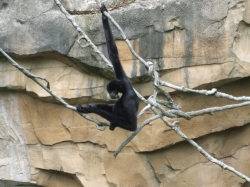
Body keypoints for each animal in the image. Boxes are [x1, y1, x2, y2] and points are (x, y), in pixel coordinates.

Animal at [76, 3, 139, 131]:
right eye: (109, 91)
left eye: (113, 90)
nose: (111, 94)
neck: (124, 88)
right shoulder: (123, 78)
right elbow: (113, 54)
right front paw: (104, 16)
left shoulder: (128, 100)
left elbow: (132, 126)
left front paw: (92, 109)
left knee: (117, 108)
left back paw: (112, 123)